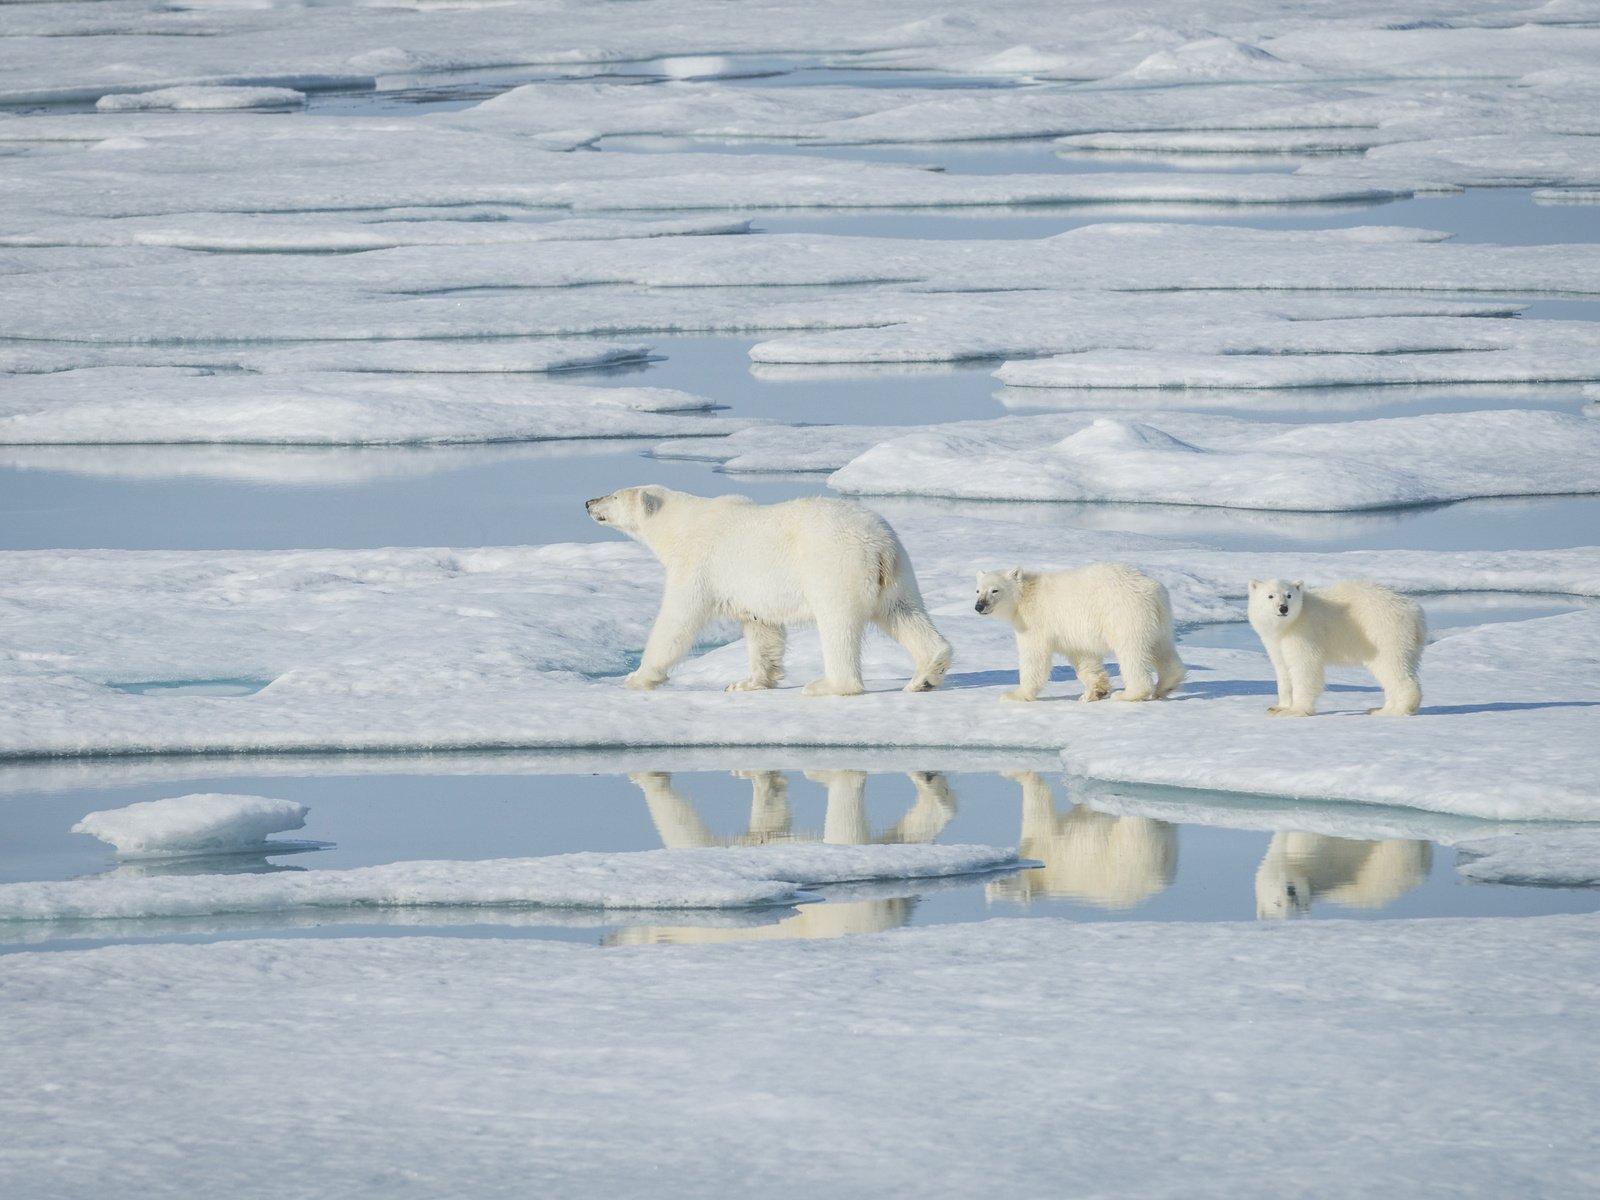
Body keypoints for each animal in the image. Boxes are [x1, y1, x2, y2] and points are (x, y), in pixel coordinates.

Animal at [588, 486, 947, 694]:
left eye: (614, 495)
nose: (589, 501)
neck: (681, 525)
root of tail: (879, 544)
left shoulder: (697, 564)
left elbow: (678, 620)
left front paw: (639, 676)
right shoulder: (751, 592)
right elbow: (762, 629)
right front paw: (747, 683)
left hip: (835, 565)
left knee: (838, 624)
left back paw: (828, 685)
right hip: (898, 573)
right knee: (905, 614)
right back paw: (925, 675)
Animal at [966, 563, 1184, 704]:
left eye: (995, 590)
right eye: (977, 590)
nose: (979, 606)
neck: (1025, 595)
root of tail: (1152, 591)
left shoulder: (1035, 622)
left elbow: (1034, 658)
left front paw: (1014, 695)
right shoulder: (1072, 633)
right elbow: (1084, 657)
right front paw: (1093, 692)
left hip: (1124, 614)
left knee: (1131, 653)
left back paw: (1129, 694)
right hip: (1160, 619)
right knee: (1162, 649)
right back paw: (1166, 685)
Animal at [1248, 579, 1427, 720]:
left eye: (1289, 595)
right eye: (1270, 596)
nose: (1283, 608)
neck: (1289, 625)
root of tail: (1414, 613)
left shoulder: (1304, 632)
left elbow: (1305, 668)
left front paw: (1296, 711)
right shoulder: (1275, 642)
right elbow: (1283, 670)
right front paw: (1278, 707)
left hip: (1383, 631)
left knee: (1392, 667)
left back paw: (1398, 710)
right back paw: (1380, 708)